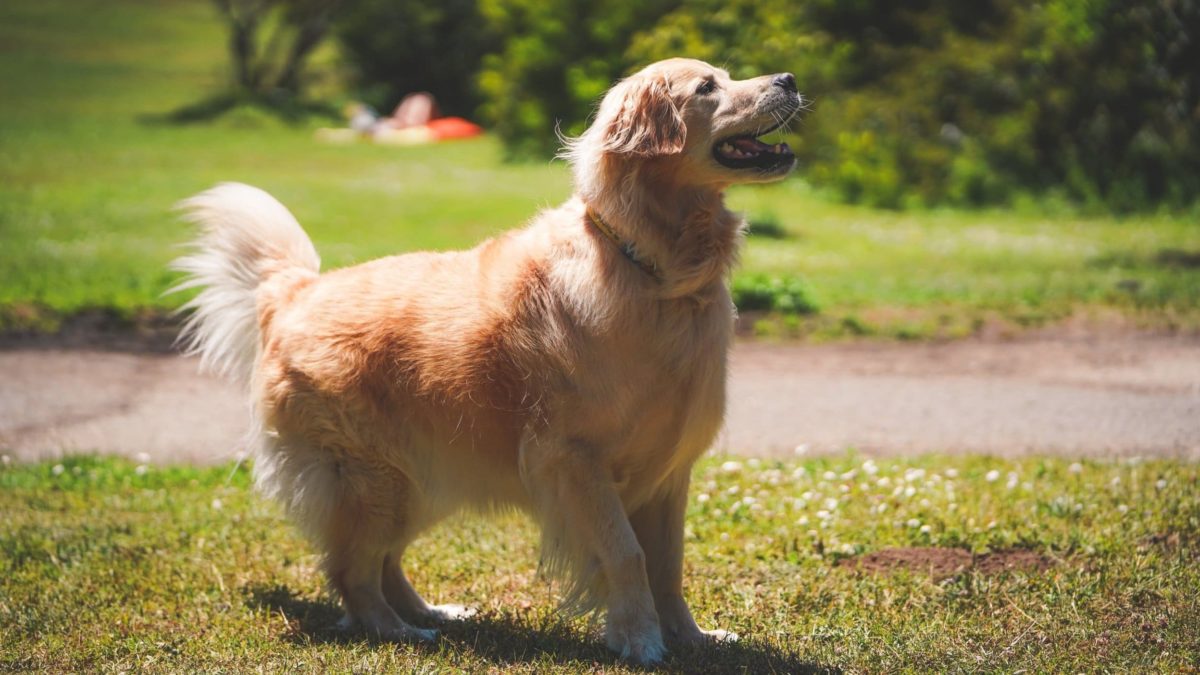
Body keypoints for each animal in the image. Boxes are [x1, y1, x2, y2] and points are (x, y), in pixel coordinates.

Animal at [174, 59, 796, 662]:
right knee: (353, 570)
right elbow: (627, 554)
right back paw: (399, 632)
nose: (789, 80)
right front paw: (641, 641)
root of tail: (296, 291)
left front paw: (692, 638)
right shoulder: (574, 462)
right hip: (374, 481)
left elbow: (668, 565)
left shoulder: (668, 470)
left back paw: (433, 614)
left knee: (383, 562)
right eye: (707, 87)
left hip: (421, 480)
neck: (653, 270)